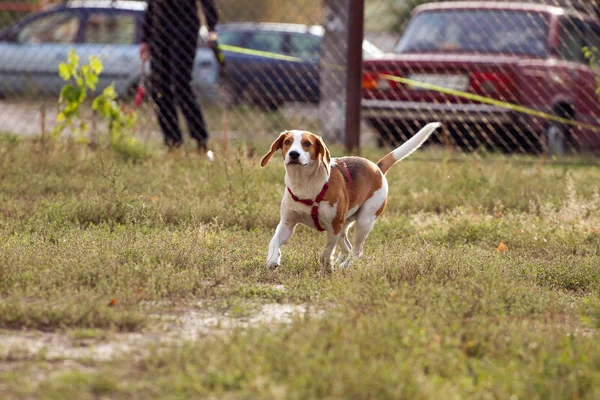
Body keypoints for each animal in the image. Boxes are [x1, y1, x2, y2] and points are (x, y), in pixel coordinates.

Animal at [262, 120, 440, 268]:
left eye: (307, 143)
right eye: (287, 142)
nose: (293, 154)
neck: (304, 183)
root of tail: (377, 167)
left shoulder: (333, 227)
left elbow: (325, 253)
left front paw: (327, 267)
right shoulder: (287, 224)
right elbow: (273, 241)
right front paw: (272, 259)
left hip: (364, 222)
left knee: (356, 252)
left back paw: (344, 266)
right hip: (345, 225)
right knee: (347, 248)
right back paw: (341, 262)